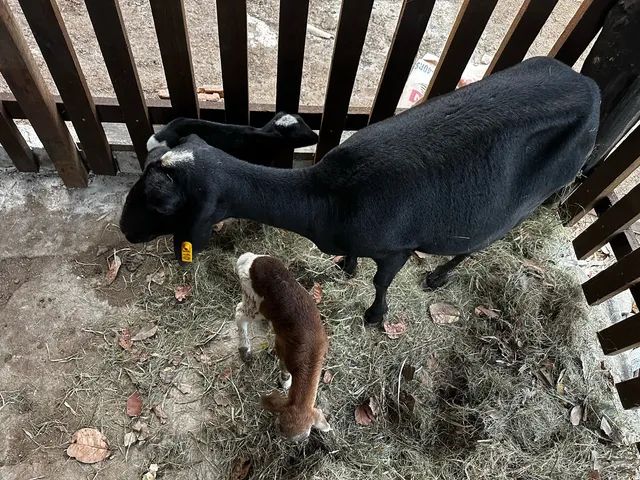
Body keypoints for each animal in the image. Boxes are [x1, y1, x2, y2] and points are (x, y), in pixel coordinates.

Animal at [120, 57, 600, 326]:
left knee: (485, 237)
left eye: (160, 202)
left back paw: (439, 275)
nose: (124, 228)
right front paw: (346, 268)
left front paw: (374, 316)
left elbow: (381, 280)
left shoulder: (396, 247)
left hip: (535, 194)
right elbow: (355, 264)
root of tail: (589, 86)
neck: (326, 198)